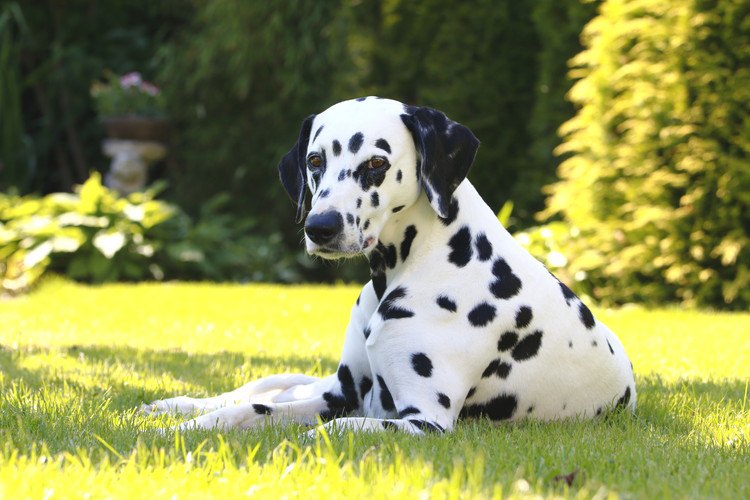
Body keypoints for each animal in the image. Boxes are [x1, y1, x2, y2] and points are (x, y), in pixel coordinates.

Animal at [144, 96, 636, 434]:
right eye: (315, 161)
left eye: (376, 163)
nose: (320, 227)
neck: (404, 270)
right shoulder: (340, 392)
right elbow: (251, 408)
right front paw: (186, 426)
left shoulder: (421, 422)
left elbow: (334, 428)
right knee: (263, 388)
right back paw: (177, 404)